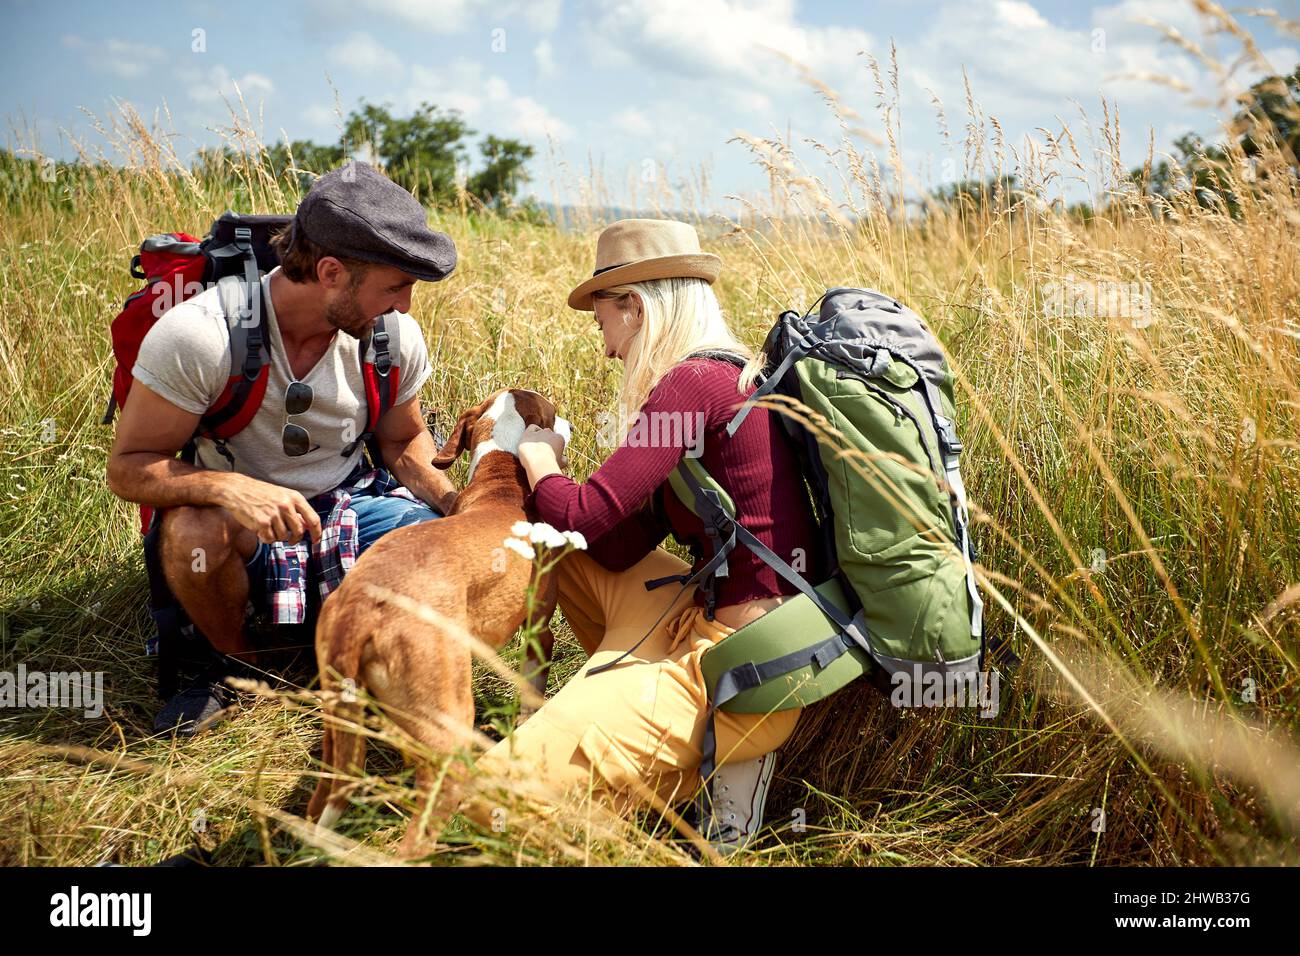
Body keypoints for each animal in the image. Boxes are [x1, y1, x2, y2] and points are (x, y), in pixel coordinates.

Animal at [306, 385, 572, 858]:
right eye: (553, 412)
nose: (570, 424)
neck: (503, 478)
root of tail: (362, 603)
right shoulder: (539, 630)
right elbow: (530, 697)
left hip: (340, 719)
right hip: (448, 725)